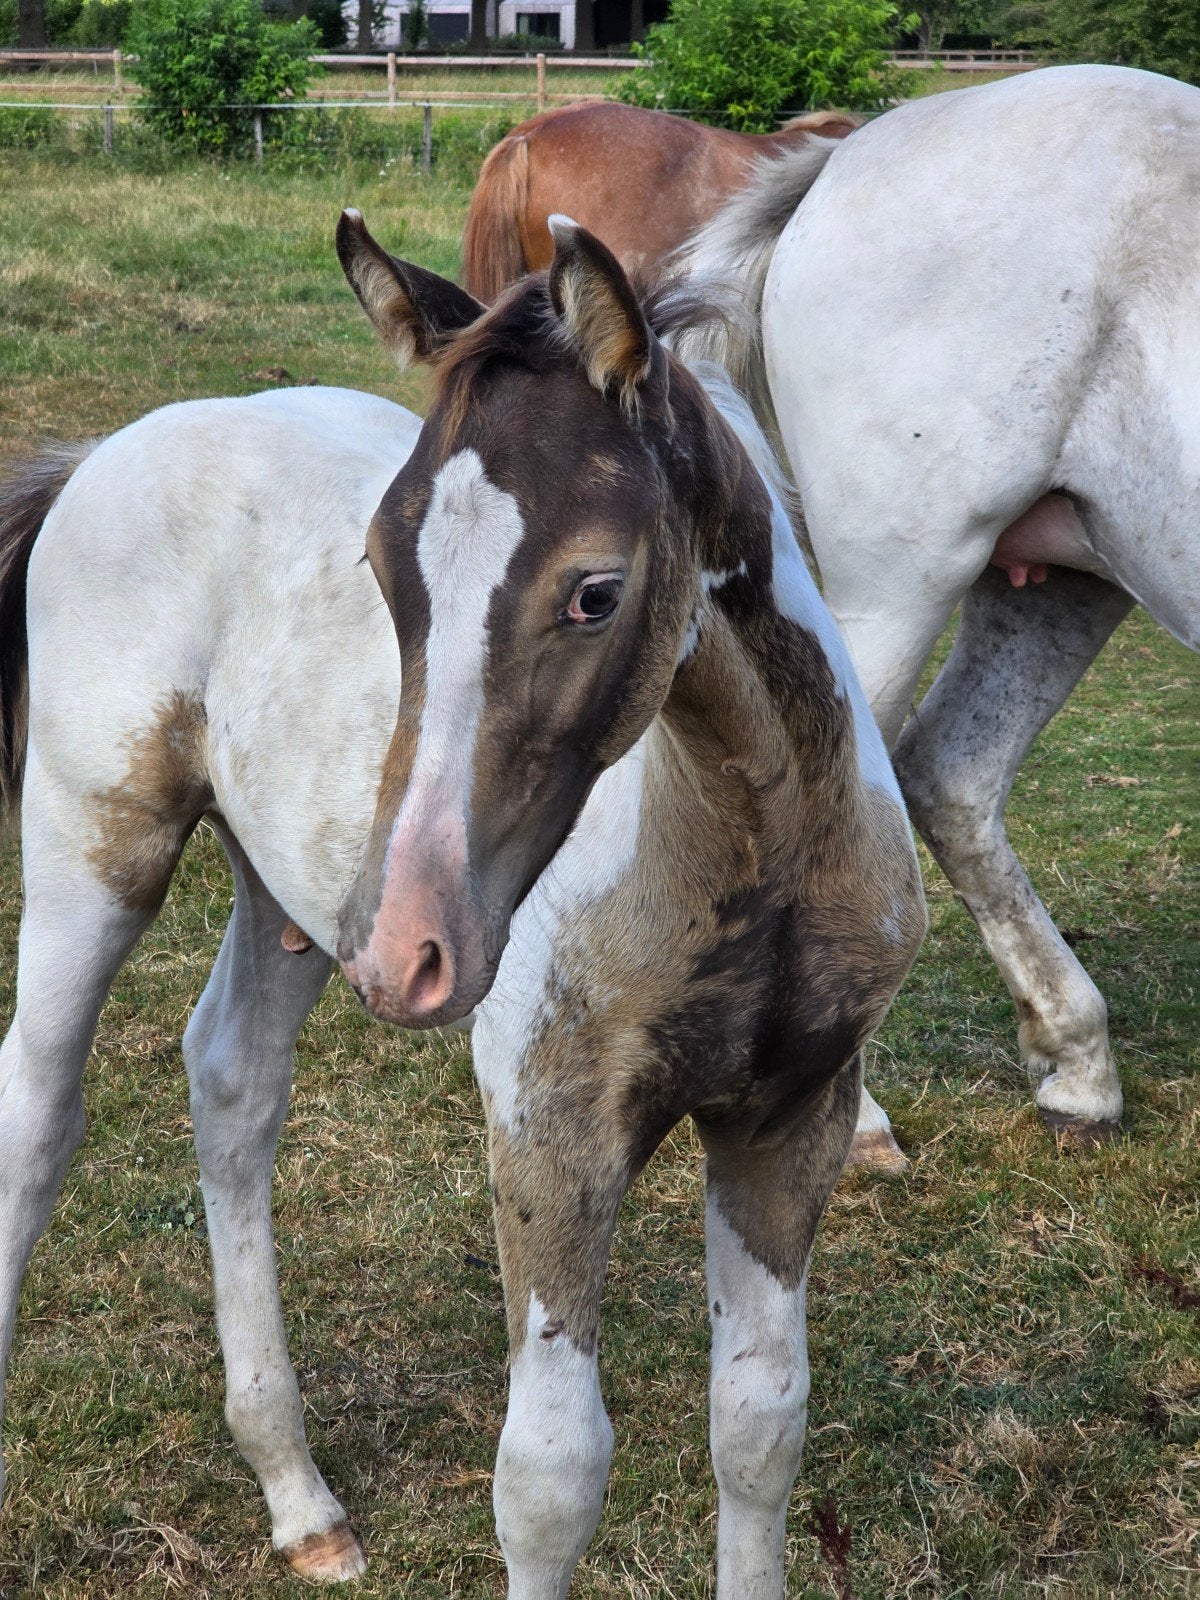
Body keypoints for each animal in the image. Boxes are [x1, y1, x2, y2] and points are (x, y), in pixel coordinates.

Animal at [0, 214, 924, 1592]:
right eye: (385, 571)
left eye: (595, 591)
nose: (411, 948)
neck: (753, 847)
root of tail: (98, 453)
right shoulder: (551, 1125)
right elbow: (549, 1477)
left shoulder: (791, 1112)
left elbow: (761, 1428)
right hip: (95, 842)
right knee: (39, 1109)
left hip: (295, 891)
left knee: (233, 1082)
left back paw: (299, 1494)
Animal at [673, 62, 1200, 1150]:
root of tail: (853, 152)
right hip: (907, 578)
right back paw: (852, 1119)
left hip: (1067, 580)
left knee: (953, 775)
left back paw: (1079, 1068)